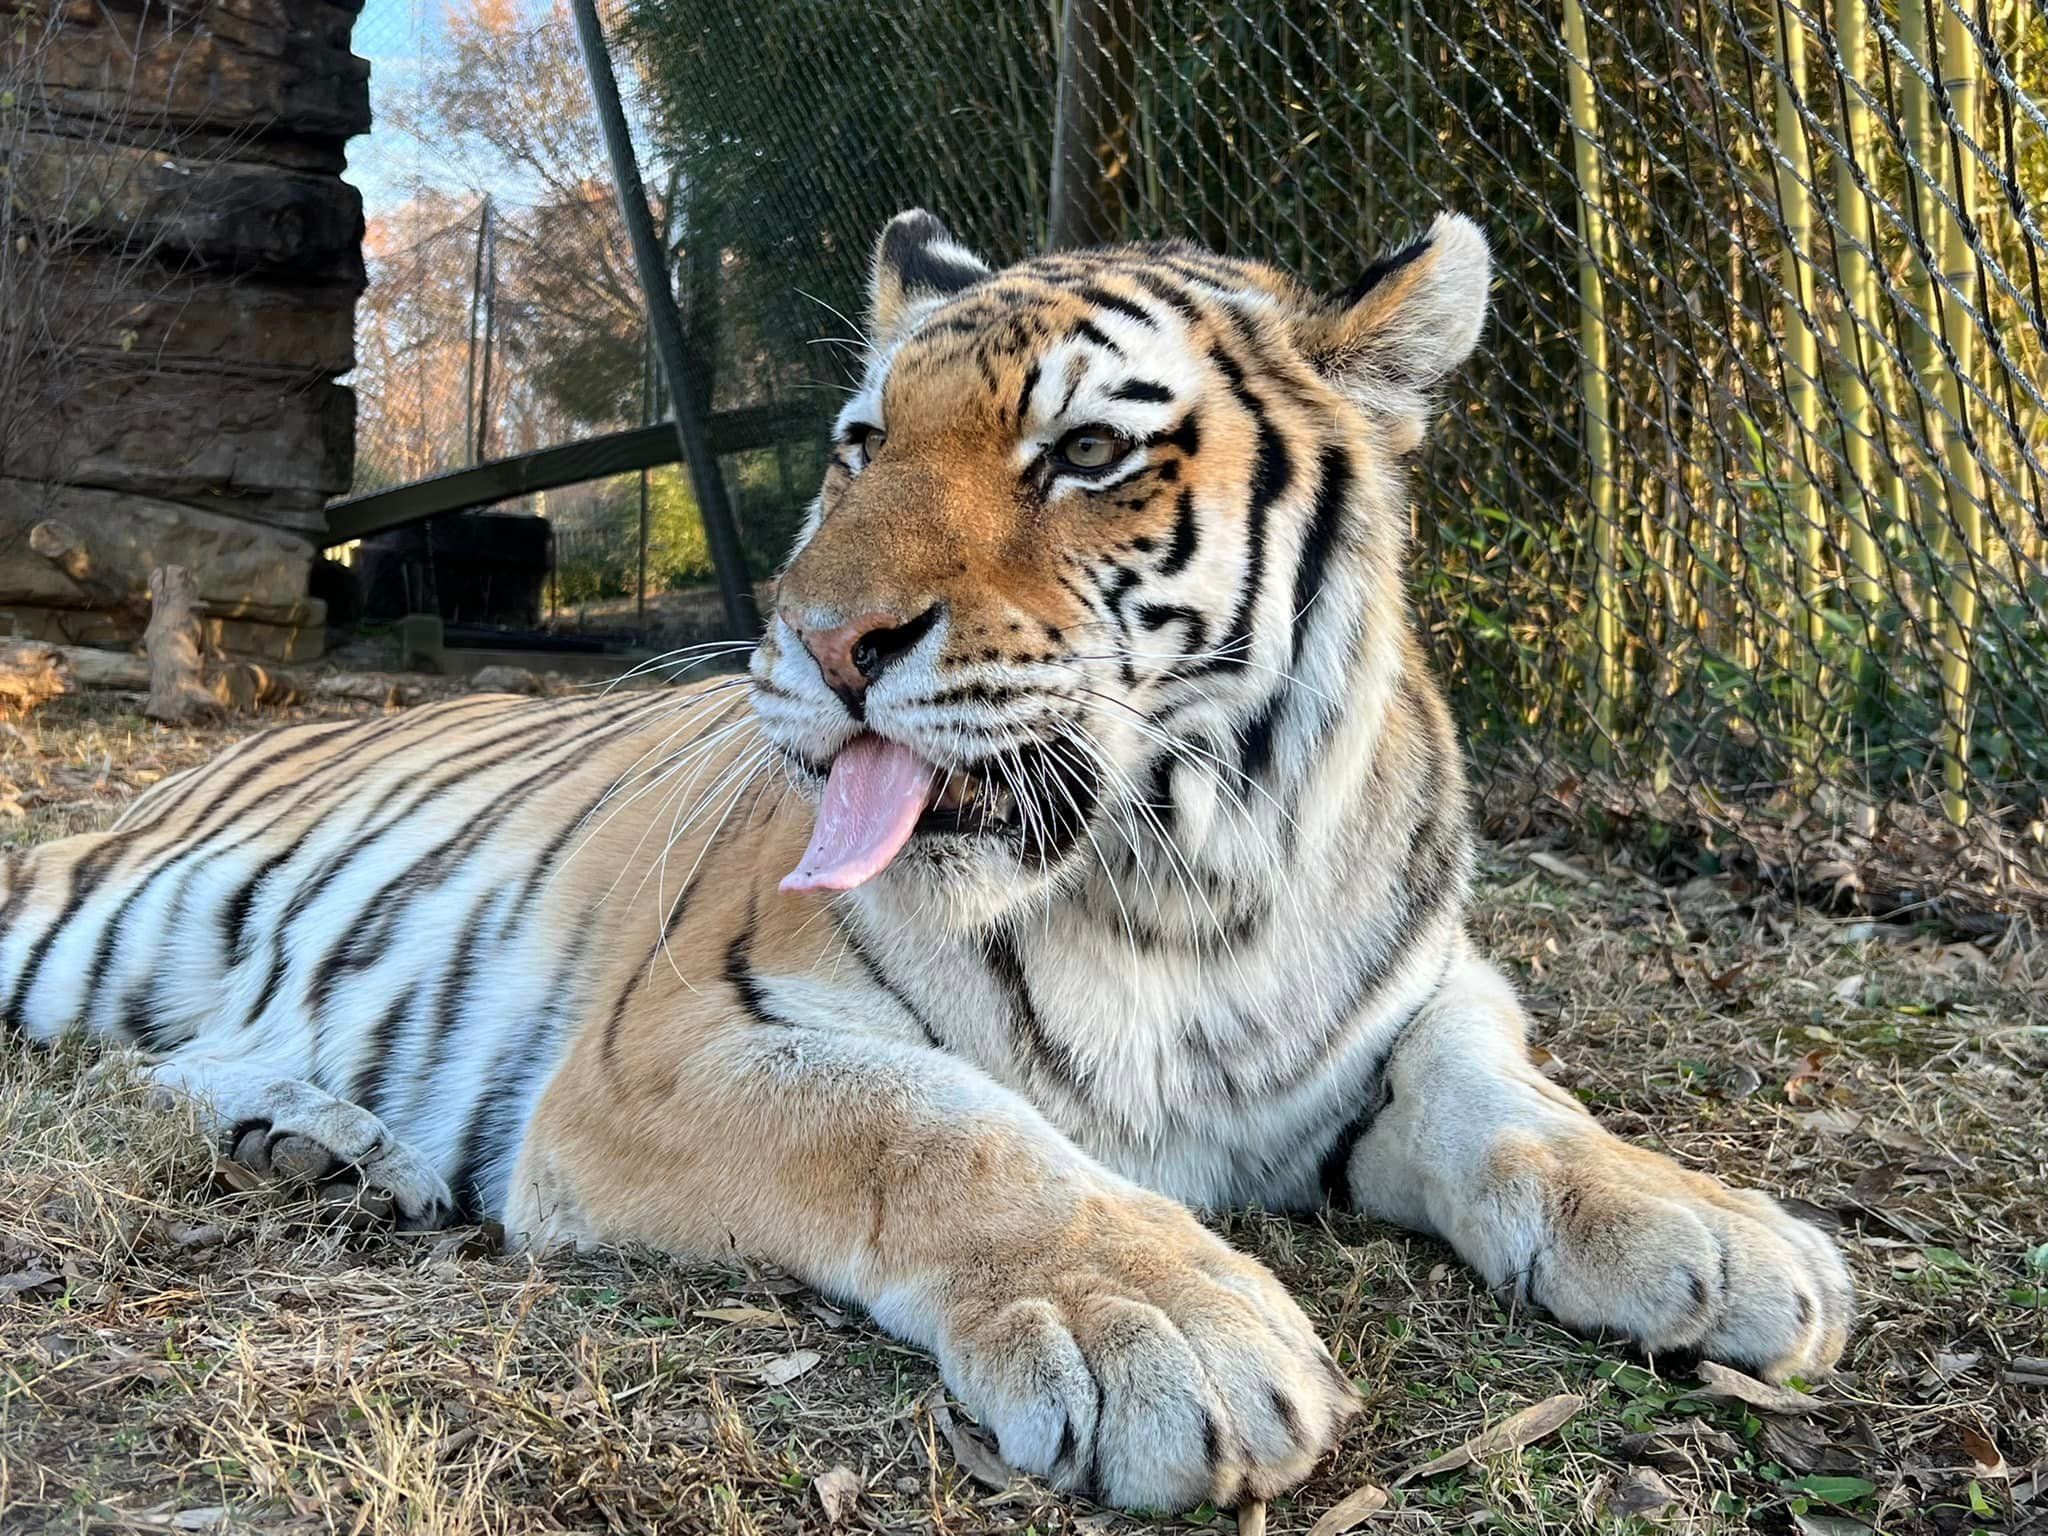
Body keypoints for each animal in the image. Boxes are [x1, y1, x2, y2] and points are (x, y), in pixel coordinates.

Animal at [0, 209, 1853, 1514]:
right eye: (859, 443)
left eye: (1088, 454)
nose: (816, 644)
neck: (1185, 889)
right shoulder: (666, 1049)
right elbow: (941, 1132)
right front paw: (1160, 1324)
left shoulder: (1423, 988)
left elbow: (1513, 1102)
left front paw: (1712, 1236)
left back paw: (311, 1141)